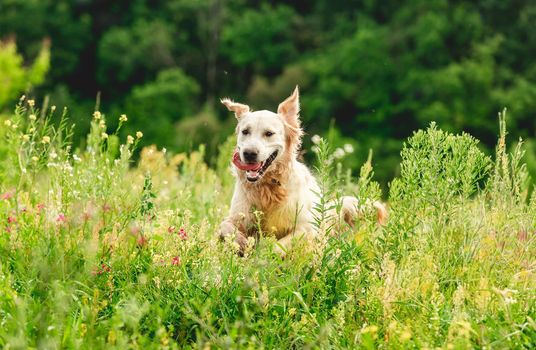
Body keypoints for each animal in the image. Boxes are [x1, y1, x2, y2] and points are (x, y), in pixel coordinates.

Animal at [218, 85, 386, 254]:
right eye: (245, 131)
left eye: (269, 133)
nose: (249, 154)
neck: (269, 188)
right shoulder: (237, 216)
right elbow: (224, 225)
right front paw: (239, 242)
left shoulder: (307, 227)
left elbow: (277, 247)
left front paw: (262, 255)